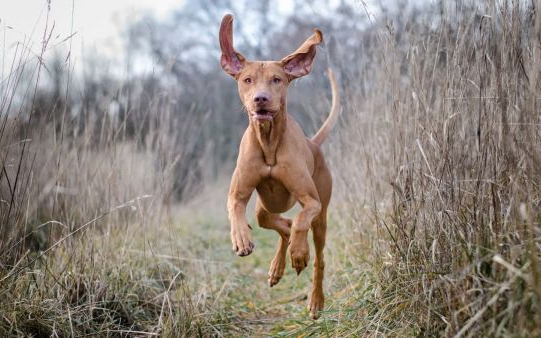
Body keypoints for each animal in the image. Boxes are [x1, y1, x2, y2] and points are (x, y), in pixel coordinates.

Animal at [218, 13, 338, 320]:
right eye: (247, 80)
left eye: (277, 80)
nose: (260, 98)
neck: (269, 142)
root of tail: (313, 143)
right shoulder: (237, 195)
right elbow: (236, 211)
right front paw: (241, 239)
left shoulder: (312, 202)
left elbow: (302, 220)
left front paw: (299, 253)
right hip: (264, 208)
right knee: (281, 224)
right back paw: (277, 267)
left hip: (322, 218)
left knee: (316, 252)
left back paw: (314, 297)